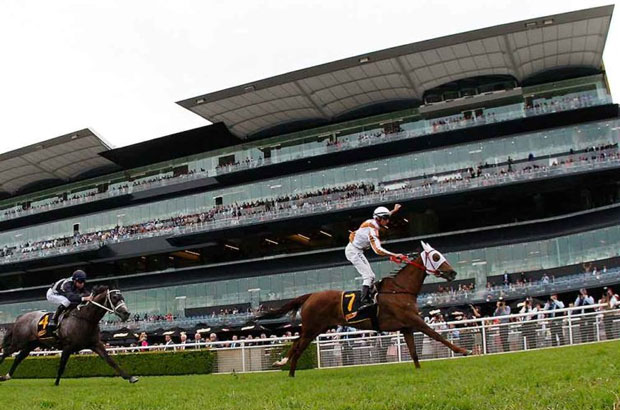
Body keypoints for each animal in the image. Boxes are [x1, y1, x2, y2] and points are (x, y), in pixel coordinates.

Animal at [0, 286, 138, 384]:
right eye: (114, 297)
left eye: (123, 297)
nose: (126, 313)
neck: (85, 318)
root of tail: (20, 317)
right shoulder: (67, 346)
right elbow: (62, 365)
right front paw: (56, 383)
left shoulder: (95, 344)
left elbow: (110, 361)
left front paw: (130, 377)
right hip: (19, 342)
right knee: (6, 352)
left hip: (31, 344)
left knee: (18, 358)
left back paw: (7, 376)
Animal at [260, 242, 470, 376]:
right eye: (436, 256)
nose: (453, 273)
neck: (400, 290)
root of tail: (310, 295)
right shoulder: (414, 320)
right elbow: (436, 335)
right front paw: (462, 350)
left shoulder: (406, 327)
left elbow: (414, 353)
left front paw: (419, 371)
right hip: (312, 327)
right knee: (298, 346)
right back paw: (289, 371)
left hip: (317, 328)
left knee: (297, 343)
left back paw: (286, 367)